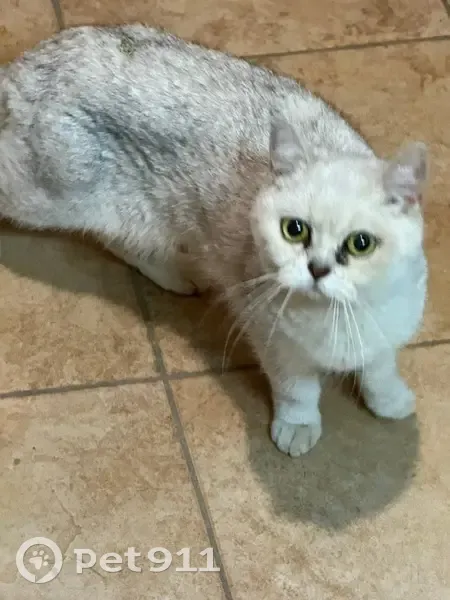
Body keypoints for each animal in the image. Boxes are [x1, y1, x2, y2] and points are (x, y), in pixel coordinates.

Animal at [0, 24, 428, 455]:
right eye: (294, 230)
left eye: (361, 244)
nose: (318, 269)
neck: (336, 314)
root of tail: (26, 64)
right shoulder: (273, 342)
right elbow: (298, 391)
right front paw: (298, 427)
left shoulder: (388, 331)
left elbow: (380, 370)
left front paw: (390, 401)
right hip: (48, 196)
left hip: (130, 213)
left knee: (117, 241)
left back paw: (177, 275)